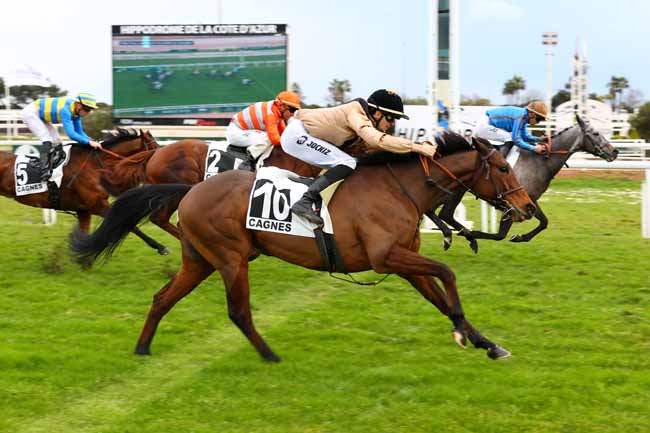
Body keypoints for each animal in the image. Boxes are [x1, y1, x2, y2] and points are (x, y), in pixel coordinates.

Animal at [0, 128, 170, 253]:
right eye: (154, 148)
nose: (162, 165)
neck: (94, 165)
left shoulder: (84, 210)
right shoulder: (98, 205)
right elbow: (127, 224)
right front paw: (161, 247)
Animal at [426, 113, 616, 251]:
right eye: (596, 133)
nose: (615, 152)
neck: (540, 161)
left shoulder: (530, 200)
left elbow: (544, 222)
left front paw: (519, 237)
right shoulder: (513, 204)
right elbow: (500, 234)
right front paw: (473, 234)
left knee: (432, 210)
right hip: (456, 190)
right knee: (445, 213)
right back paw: (459, 234)